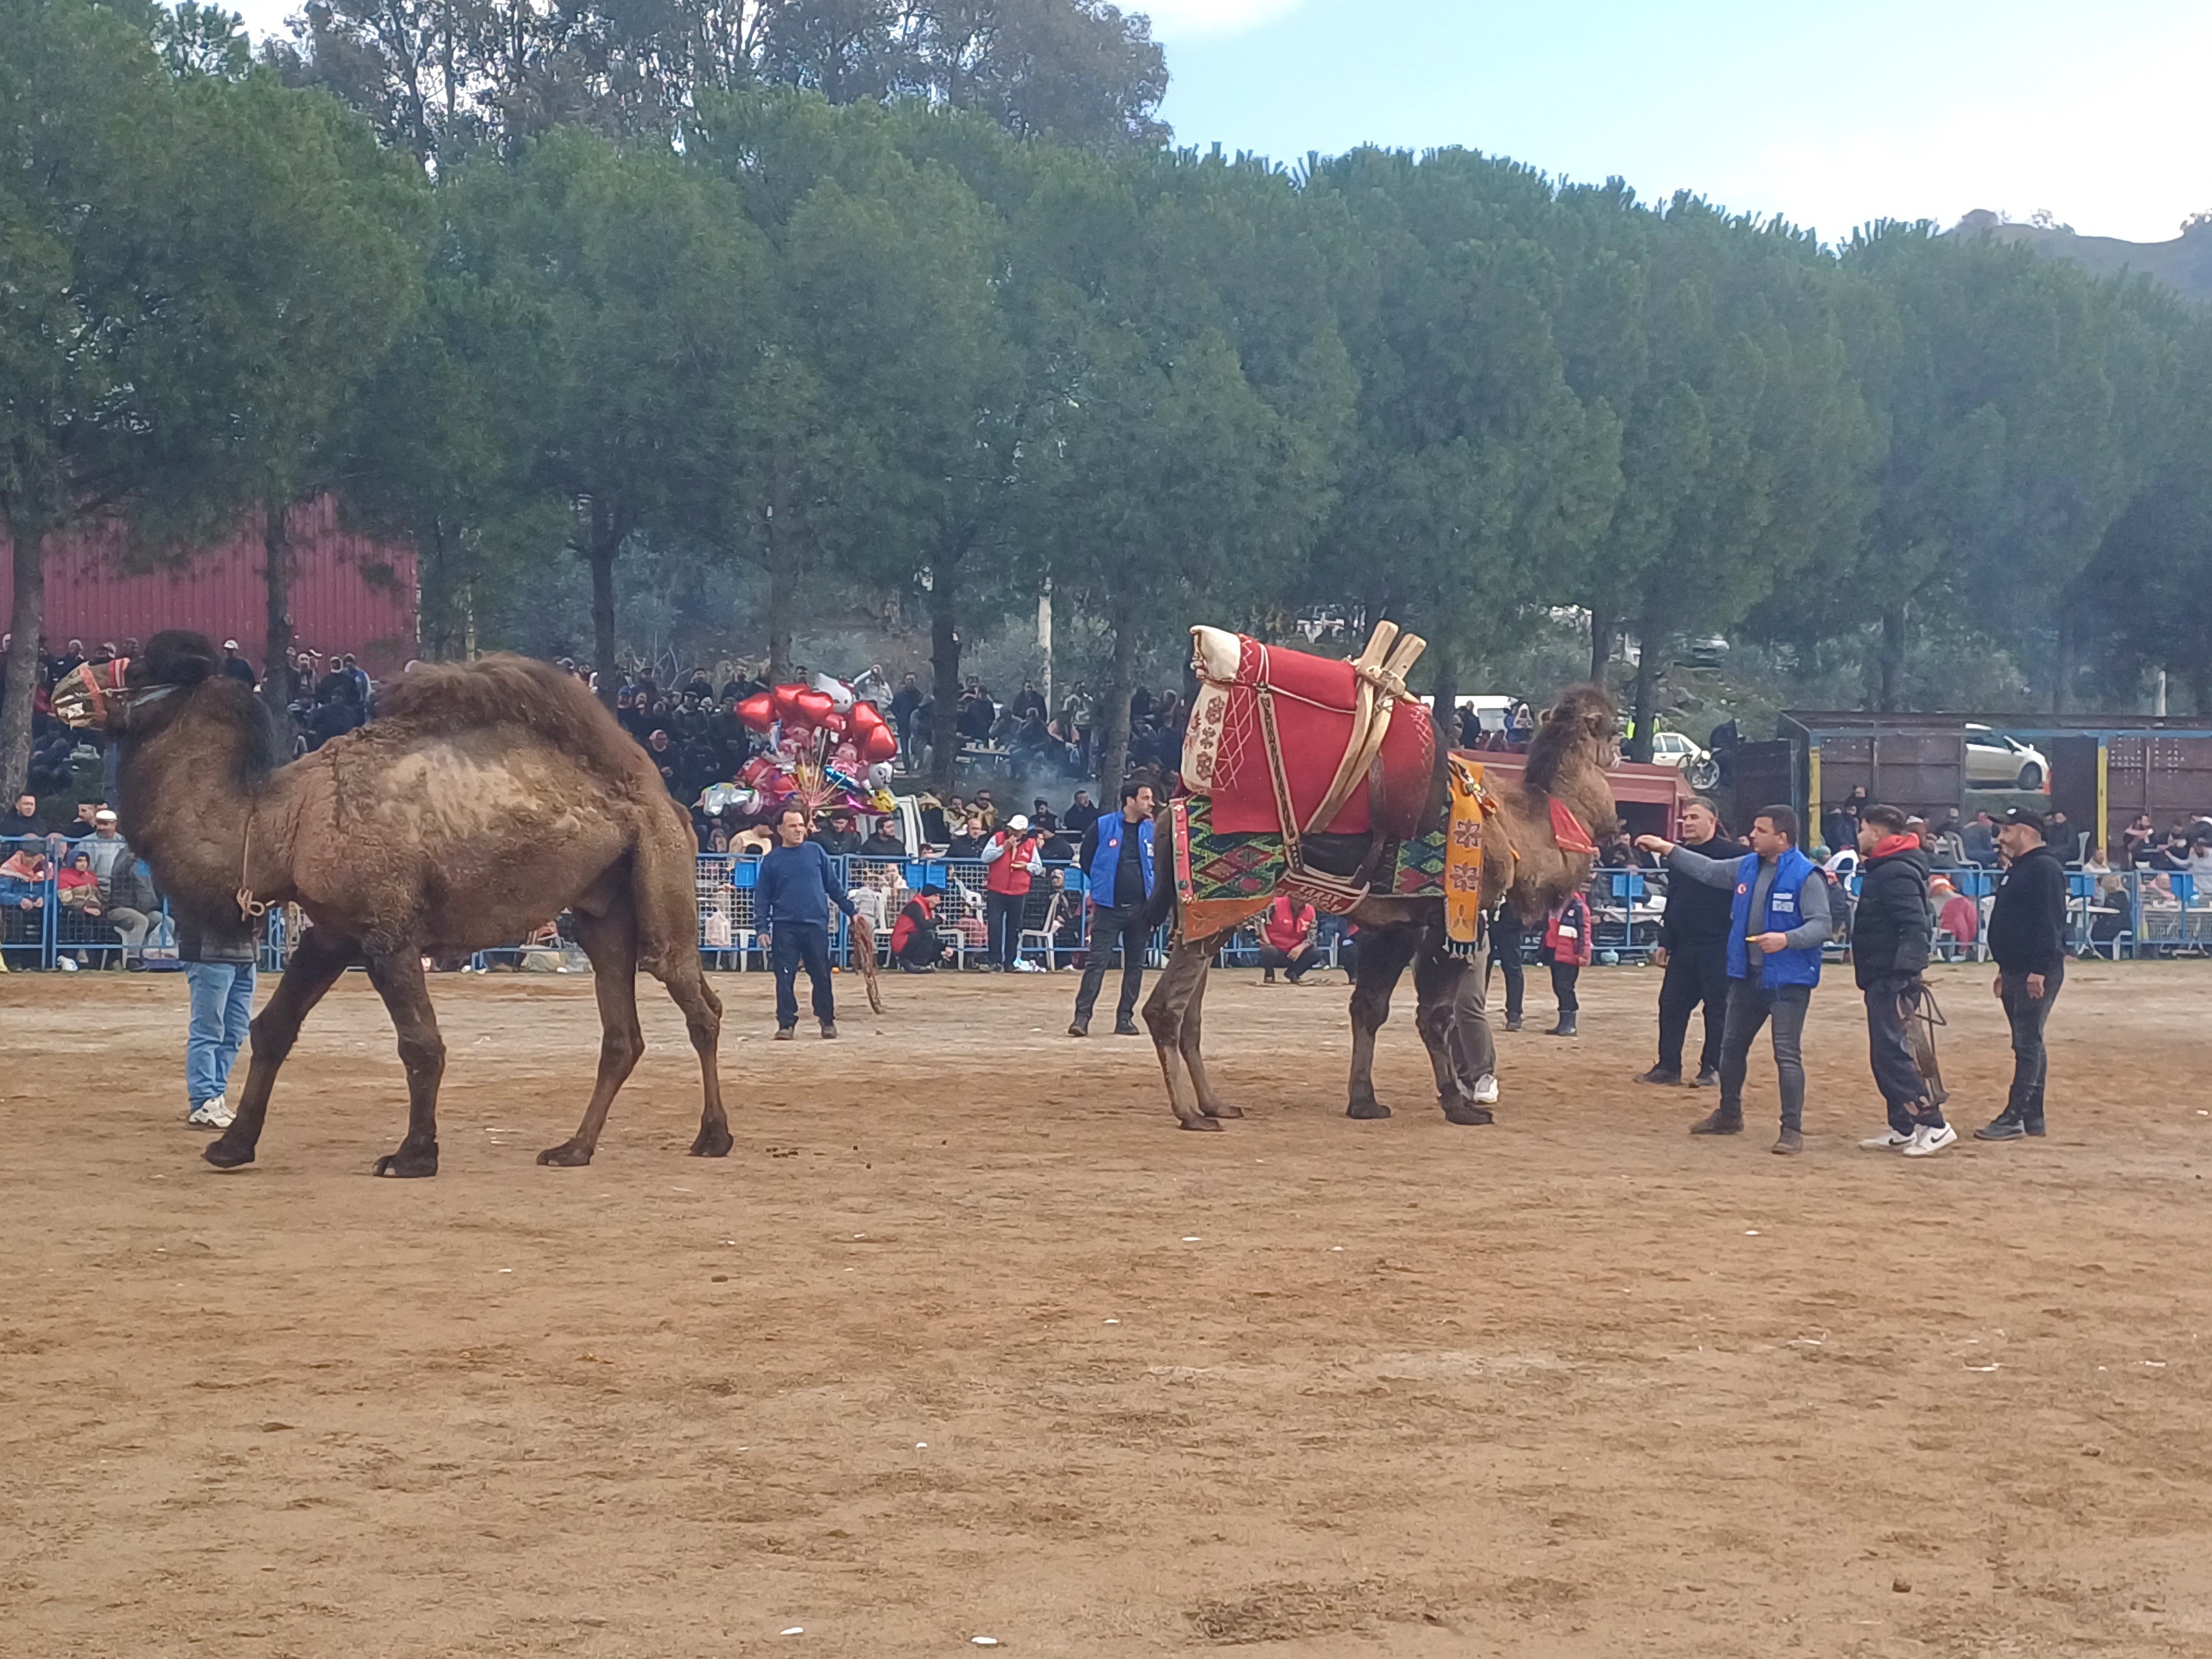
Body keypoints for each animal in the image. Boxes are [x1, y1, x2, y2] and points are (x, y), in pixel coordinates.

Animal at [52, 628, 730, 1177]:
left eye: (142, 668)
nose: (63, 689)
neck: (273, 826)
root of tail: (662, 797)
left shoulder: (388, 934)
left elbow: (421, 1045)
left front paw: (412, 1155)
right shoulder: (332, 931)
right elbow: (272, 1029)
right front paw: (231, 1146)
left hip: (661, 873)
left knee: (696, 1001)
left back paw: (712, 1138)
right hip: (600, 910)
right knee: (623, 1034)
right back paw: (573, 1148)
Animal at [1141, 624, 1610, 1133]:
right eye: (1610, 724)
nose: (1618, 753)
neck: (1523, 826)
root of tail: (1170, 814)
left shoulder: (1396, 925)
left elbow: (1369, 1007)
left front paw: (1364, 1102)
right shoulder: (1448, 920)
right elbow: (1436, 1016)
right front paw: (1459, 1106)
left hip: (1206, 913)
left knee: (1191, 1013)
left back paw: (1216, 1104)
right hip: (1217, 900)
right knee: (1164, 1009)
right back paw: (1191, 1114)